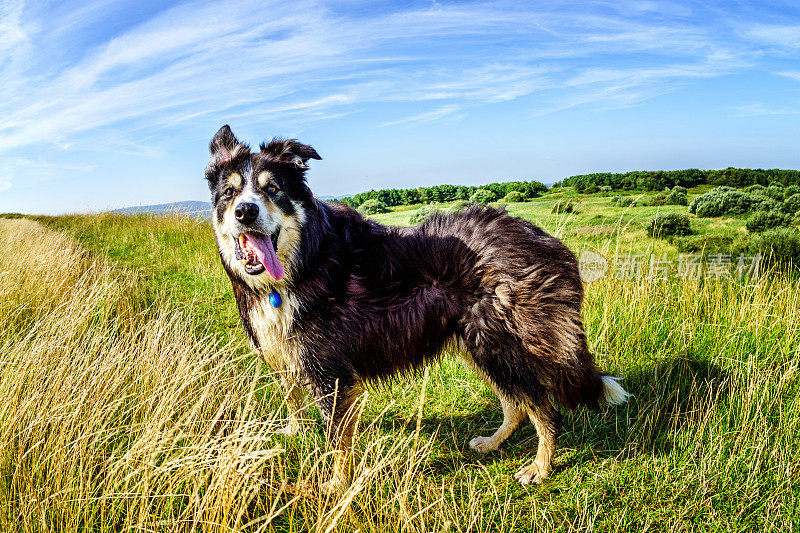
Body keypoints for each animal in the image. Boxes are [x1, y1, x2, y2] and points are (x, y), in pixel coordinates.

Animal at [203, 124, 628, 490]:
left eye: (272, 188)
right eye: (230, 193)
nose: (245, 212)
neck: (302, 262)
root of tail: (546, 240)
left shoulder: (331, 373)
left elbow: (338, 443)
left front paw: (338, 486)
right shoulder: (285, 355)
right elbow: (293, 401)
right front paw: (294, 434)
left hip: (503, 344)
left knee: (544, 409)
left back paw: (540, 467)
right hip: (478, 343)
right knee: (517, 404)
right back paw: (494, 442)